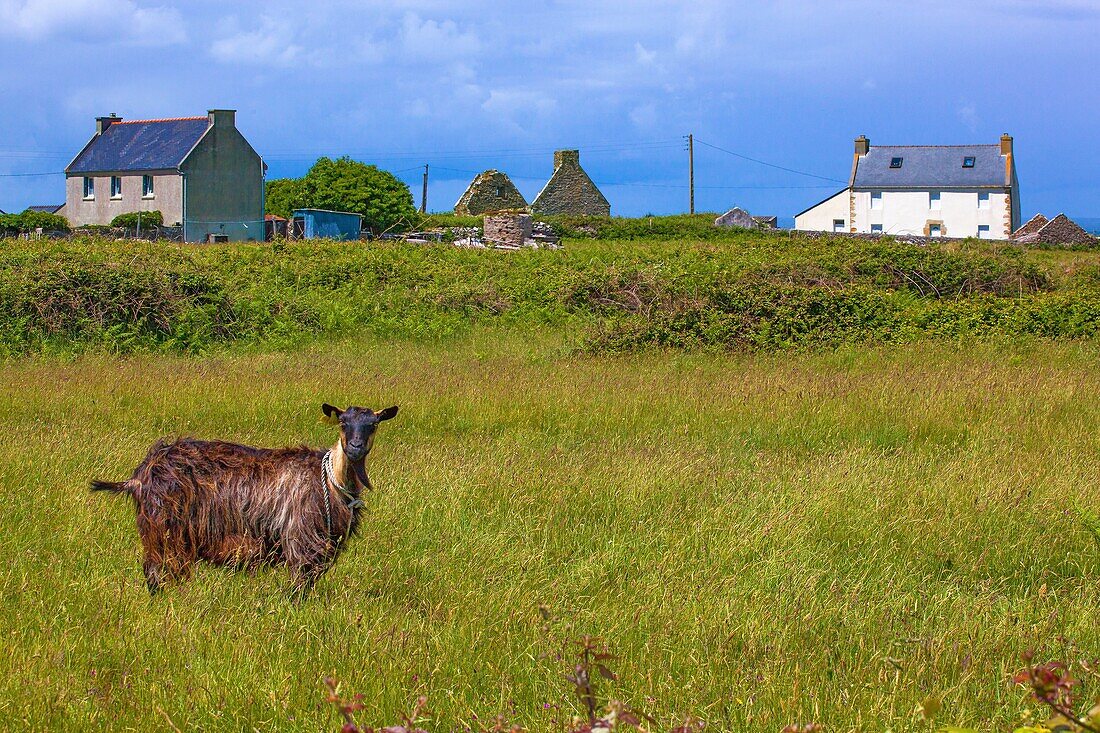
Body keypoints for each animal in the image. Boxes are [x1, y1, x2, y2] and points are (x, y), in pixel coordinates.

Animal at [91, 402, 400, 589]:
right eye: (343, 422)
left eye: (373, 424)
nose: (356, 447)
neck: (329, 480)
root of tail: (140, 475)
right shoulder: (301, 540)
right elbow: (298, 588)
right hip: (165, 530)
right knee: (158, 572)